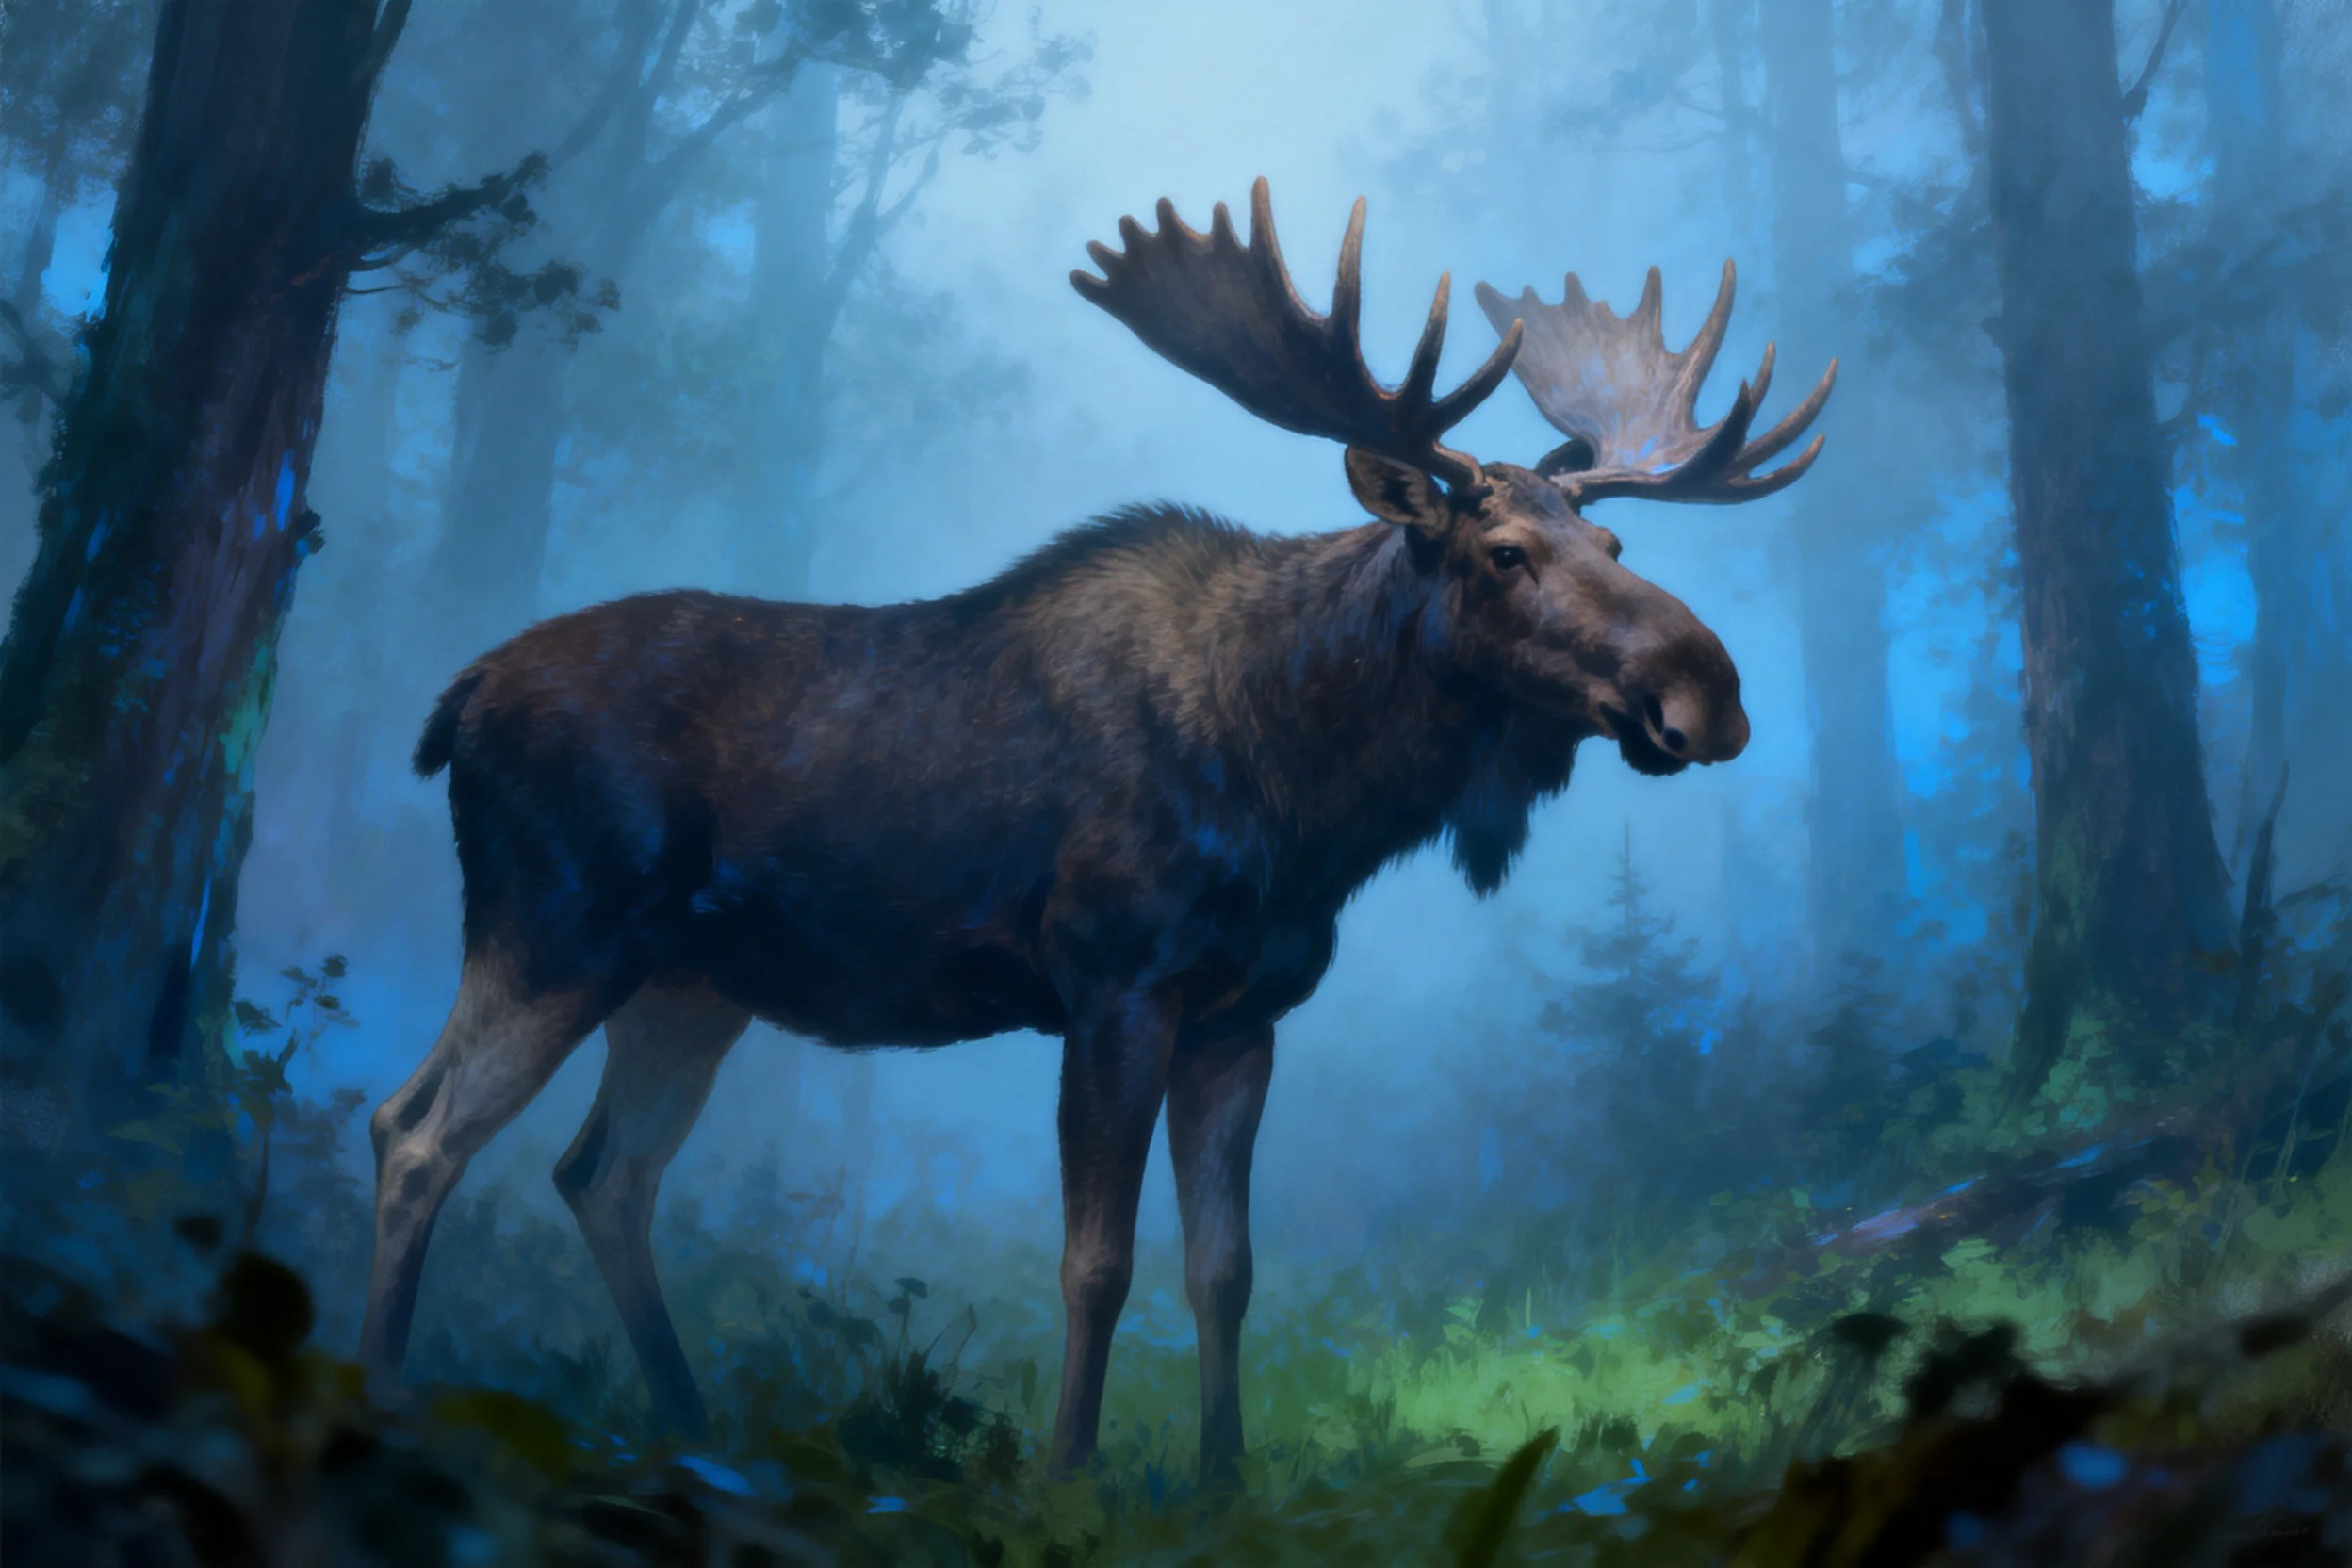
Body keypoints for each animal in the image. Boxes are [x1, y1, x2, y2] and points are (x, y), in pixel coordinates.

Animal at [359, 178, 1834, 1483]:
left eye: (1618, 552)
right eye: (1503, 554)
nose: (1708, 692)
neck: (1307, 789)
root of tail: (459, 695)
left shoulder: (1245, 1014)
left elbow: (1225, 1268)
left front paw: (1223, 1479)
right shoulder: (1114, 983)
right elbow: (1097, 1263)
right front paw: (1065, 1477)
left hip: (690, 985)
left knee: (602, 1173)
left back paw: (691, 1427)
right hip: (555, 929)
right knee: (415, 1129)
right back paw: (382, 1399)